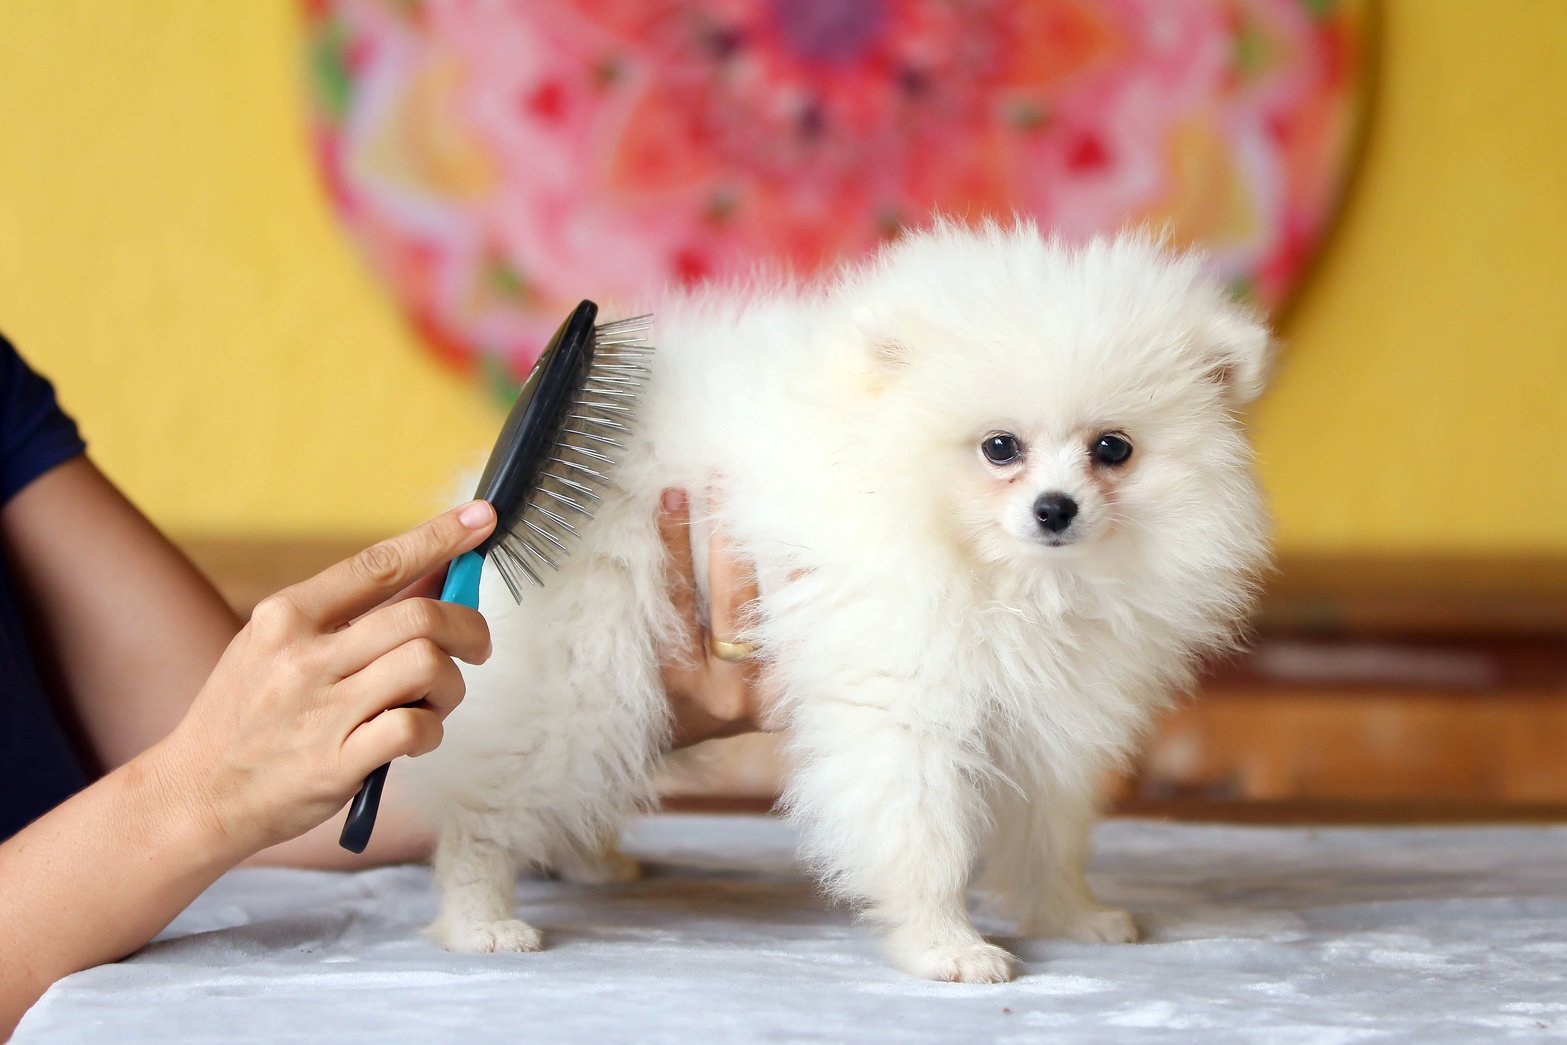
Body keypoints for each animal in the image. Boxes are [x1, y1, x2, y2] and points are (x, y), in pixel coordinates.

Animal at [407, 219, 1272, 983]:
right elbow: (922, 835)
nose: (1055, 509)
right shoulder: (901, 693)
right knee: (492, 795)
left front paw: (1071, 913)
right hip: (586, 664)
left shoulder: (1049, 709)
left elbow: (1048, 830)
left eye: (1112, 448)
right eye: (1000, 447)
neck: (1009, 576)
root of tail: (496, 504)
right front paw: (946, 946)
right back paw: (480, 915)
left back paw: (588, 860)